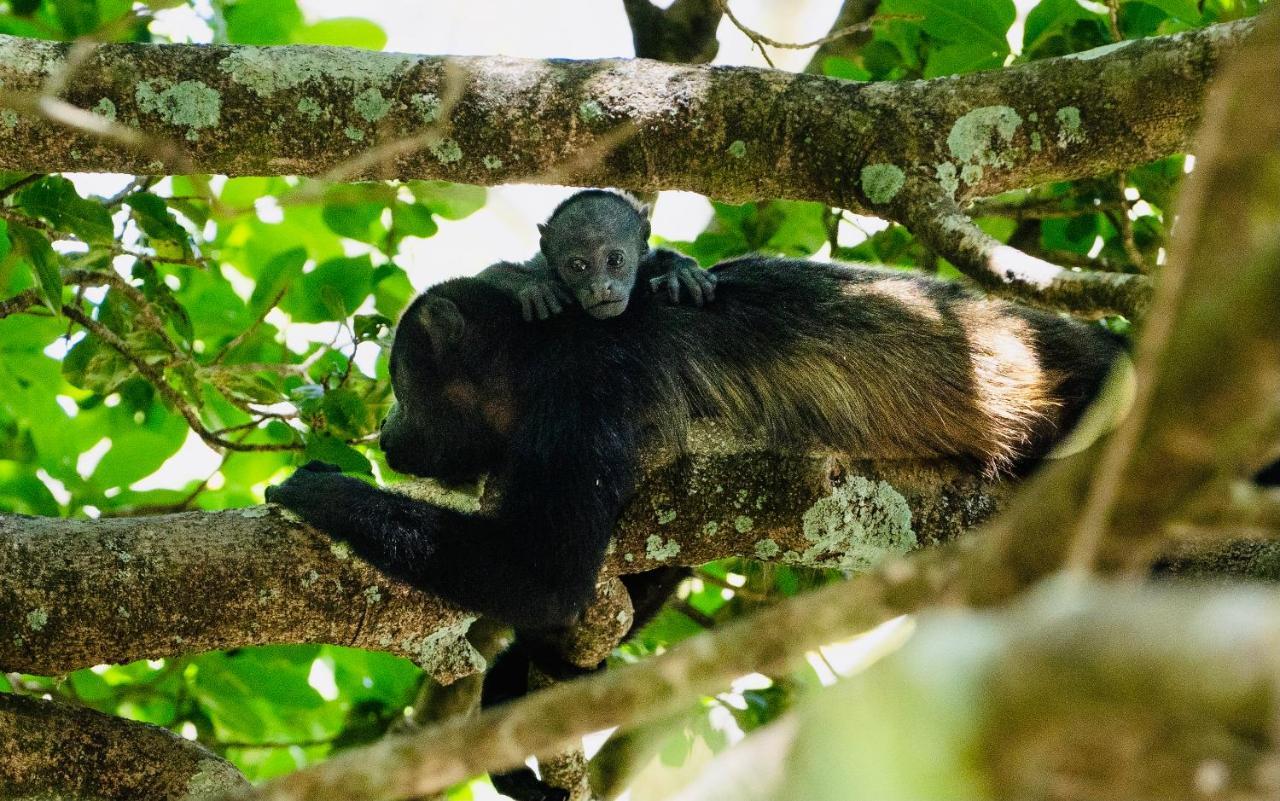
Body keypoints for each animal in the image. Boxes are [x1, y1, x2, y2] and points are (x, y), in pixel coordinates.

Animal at [478, 188, 716, 319]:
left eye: (616, 260)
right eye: (578, 266)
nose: (600, 288)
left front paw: (681, 271)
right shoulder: (541, 265)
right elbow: (486, 275)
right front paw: (534, 287)